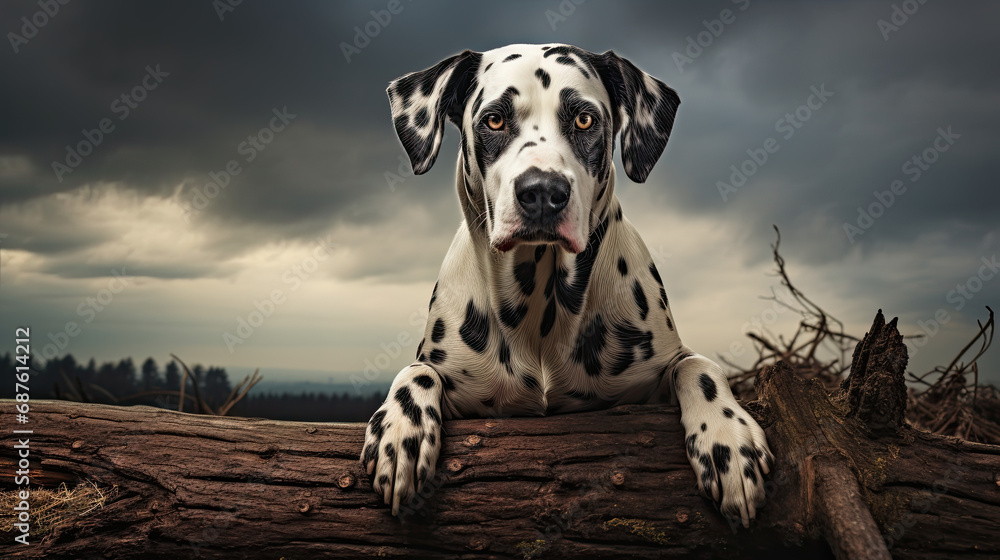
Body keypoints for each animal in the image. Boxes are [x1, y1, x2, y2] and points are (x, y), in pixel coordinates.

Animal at [360, 44, 772, 528]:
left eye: (585, 120)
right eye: (494, 120)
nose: (542, 191)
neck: (540, 301)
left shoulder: (651, 382)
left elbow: (697, 366)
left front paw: (726, 439)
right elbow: (417, 370)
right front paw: (400, 430)